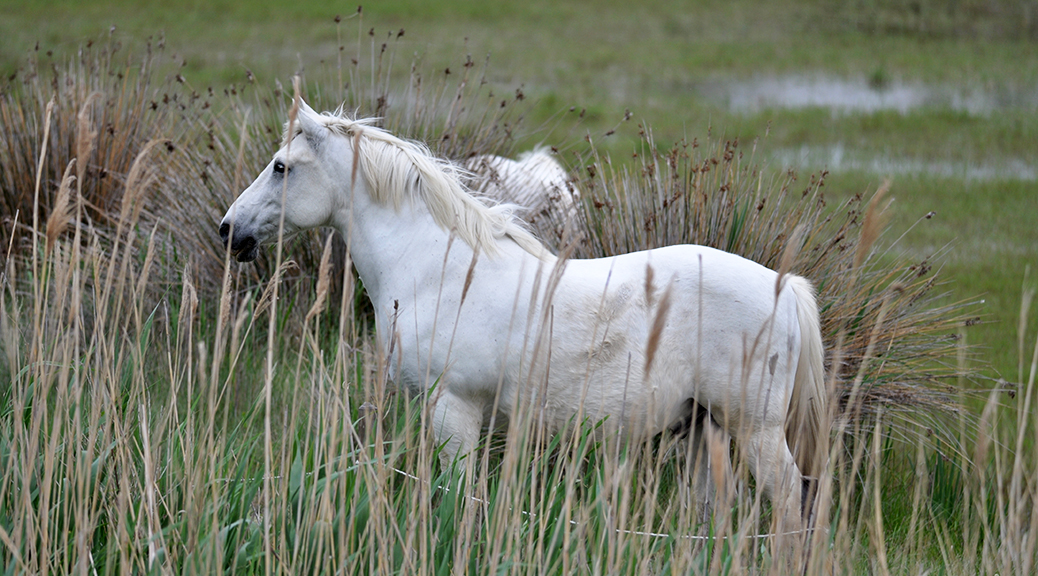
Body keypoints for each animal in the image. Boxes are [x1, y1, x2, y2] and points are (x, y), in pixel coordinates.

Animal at [219, 101, 828, 528]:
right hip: (706, 428)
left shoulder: (453, 411)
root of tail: (786, 288)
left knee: (792, 500)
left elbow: (460, 499)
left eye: (280, 167)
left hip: (755, 430)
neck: (436, 270)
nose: (229, 230)